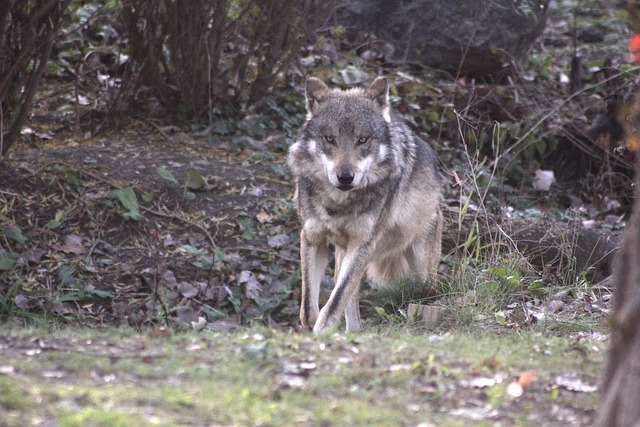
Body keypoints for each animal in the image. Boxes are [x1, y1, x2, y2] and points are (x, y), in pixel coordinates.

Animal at [288, 75, 442, 332]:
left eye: (363, 140)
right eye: (330, 139)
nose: (345, 177)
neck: (339, 203)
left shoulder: (362, 244)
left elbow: (334, 301)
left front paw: (321, 331)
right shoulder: (312, 237)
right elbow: (309, 308)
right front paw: (313, 328)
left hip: (421, 272)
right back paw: (352, 332)